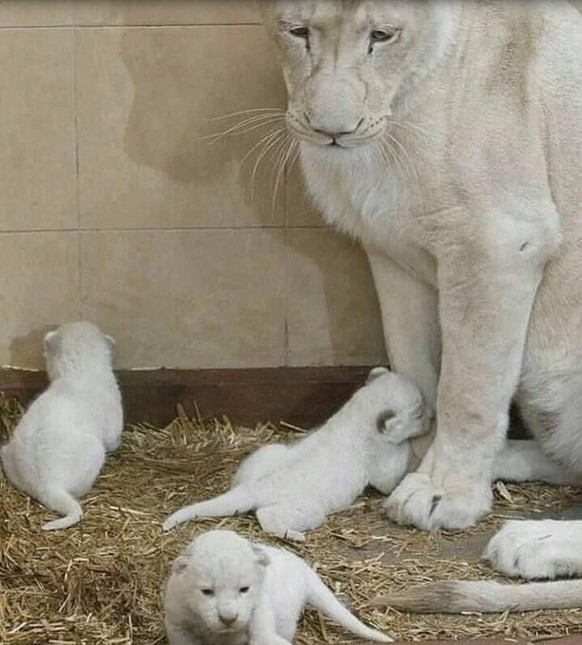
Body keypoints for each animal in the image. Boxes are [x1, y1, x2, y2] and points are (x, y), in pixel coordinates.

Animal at [262, 0, 582, 548]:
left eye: (382, 36)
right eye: (298, 31)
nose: (332, 131)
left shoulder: (499, 242)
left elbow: (467, 387)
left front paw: (442, 492)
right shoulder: (392, 251)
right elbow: (413, 360)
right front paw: (406, 449)